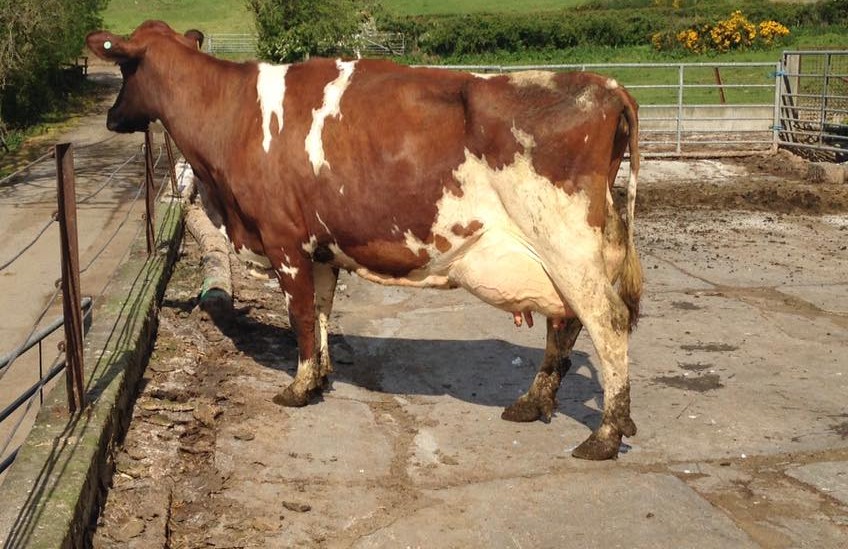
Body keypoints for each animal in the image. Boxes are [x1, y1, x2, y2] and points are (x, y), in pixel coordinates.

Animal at [86, 21, 643, 460]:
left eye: (124, 69)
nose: (111, 117)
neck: (232, 118)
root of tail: (604, 83)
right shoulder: (320, 248)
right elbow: (323, 310)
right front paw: (321, 377)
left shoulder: (283, 238)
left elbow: (300, 314)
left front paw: (298, 386)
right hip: (562, 255)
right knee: (566, 322)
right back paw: (534, 403)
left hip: (566, 243)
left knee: (608, 322)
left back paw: (605, 435)